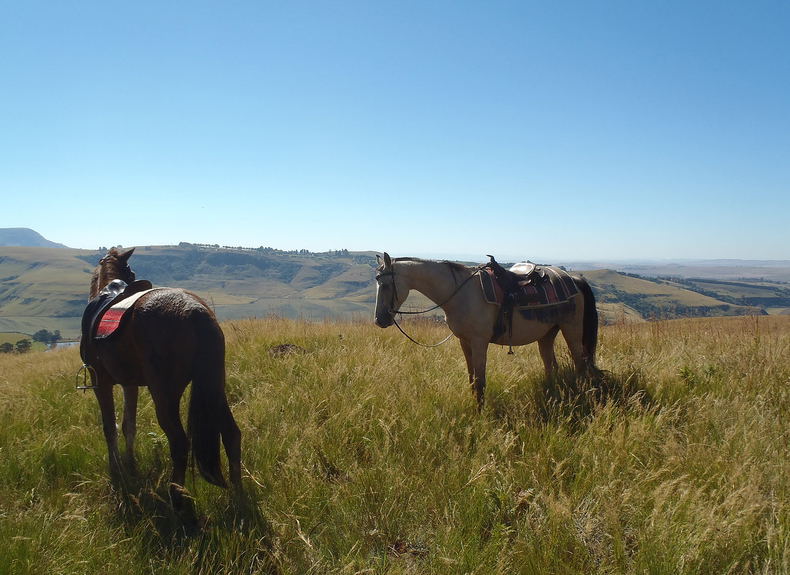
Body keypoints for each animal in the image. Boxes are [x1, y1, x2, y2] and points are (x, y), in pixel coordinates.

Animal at [82, 247, 241, 505]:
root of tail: (195, 311)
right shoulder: (129, 384)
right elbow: (128, 425)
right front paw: (130, 464)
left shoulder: (101, 382)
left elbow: (109, 427)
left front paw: (116, 469)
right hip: (214, 388)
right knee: (231, 434)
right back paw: (239, 494)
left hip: (165, 395)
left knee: (179, 443)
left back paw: (177, 495)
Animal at [374, 252, 599, 410]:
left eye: (385, 285)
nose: (379, 320)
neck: (460, 293)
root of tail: (574, 279)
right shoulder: (464, 342)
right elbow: (472, 379)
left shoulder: (479, 342)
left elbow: (480, 381)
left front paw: (479, 414)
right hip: (547, 333)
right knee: (550, 364)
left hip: (571, 329)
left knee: (580, 363)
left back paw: (582, 395)